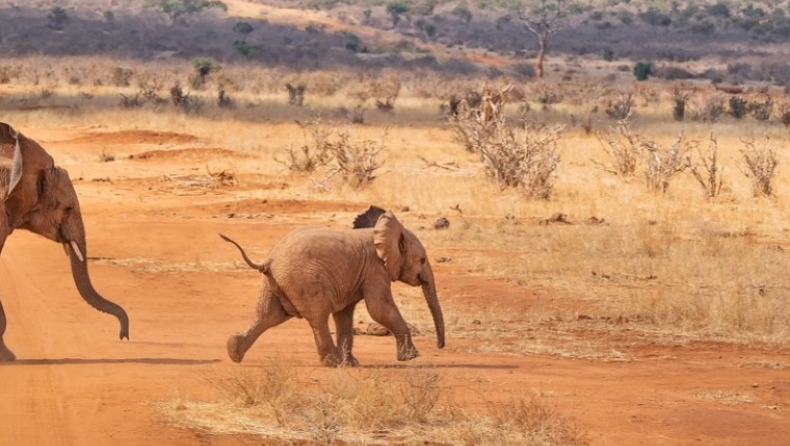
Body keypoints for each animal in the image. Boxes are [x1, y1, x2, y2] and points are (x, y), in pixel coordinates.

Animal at [223, 206, 446, 366]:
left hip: (275, 283)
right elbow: (379, 309)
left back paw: (234, 352)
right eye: (423, 260)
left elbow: (345, 315)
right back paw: (332, 362)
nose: (440, 347)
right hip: (305, 281)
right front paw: (412, 357)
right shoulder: (375, 270)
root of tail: (269, 260)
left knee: (268, 316)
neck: (381, 231)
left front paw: (352, 364)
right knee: (318, 318)